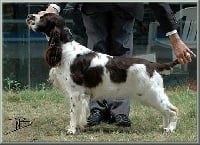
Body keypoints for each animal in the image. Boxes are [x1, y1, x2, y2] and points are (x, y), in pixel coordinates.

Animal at [26, 13, 178, 134]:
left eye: (44, 17)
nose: (29, 16)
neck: (64, 47)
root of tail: (153, 64)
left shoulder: (75, 92)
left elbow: (73, 112)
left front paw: (72, 130)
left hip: (151, 94)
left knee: (173, 110)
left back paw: (170, 129)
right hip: (148, 96)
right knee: (165, 111)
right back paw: (164, 127)